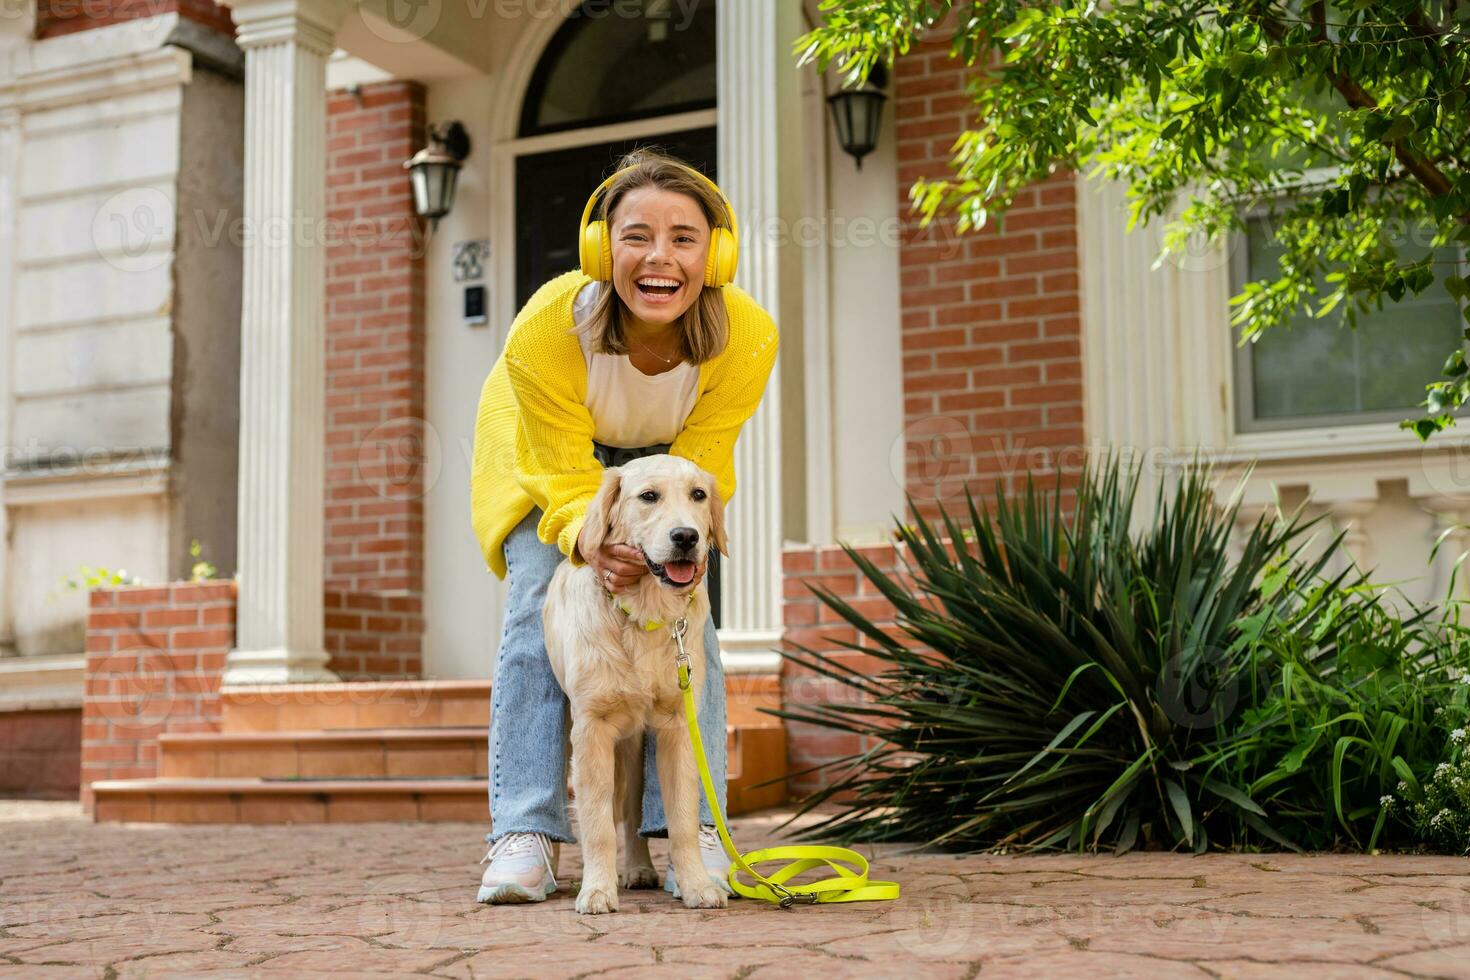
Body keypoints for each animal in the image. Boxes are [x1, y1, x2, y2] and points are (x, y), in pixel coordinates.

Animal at [543, 455, 732, 916]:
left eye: (698, 495)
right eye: (648, 496)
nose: (686, 536)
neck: (646, 615)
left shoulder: (679, 728)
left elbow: (681, 819)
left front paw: (696, 884)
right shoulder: (592, 730)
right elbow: (596, 824)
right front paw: (596, 890)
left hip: (633, 747)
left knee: (631, 815)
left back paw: (639, 868)